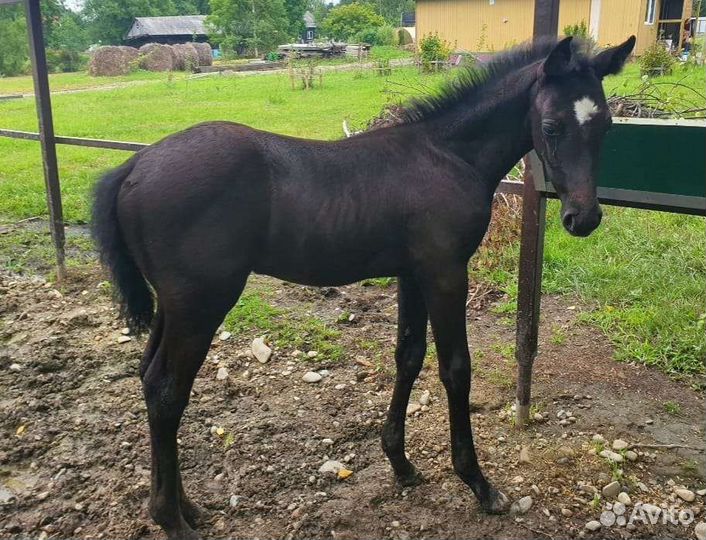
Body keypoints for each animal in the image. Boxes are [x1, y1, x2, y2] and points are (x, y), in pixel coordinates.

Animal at [92, 35, 635, 540]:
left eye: (606, 125)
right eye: (552, 126)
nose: (584, 218)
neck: (448, 155)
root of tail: (133, 167)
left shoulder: (412, 273)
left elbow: (409, 356)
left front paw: (401, 463)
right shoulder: (445, 273)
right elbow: (456, 369)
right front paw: (479, 484)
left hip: (175, 305)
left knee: (148, 378)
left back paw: (184, 506)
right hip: (202, 303)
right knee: (168, 391)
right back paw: (172, 519)